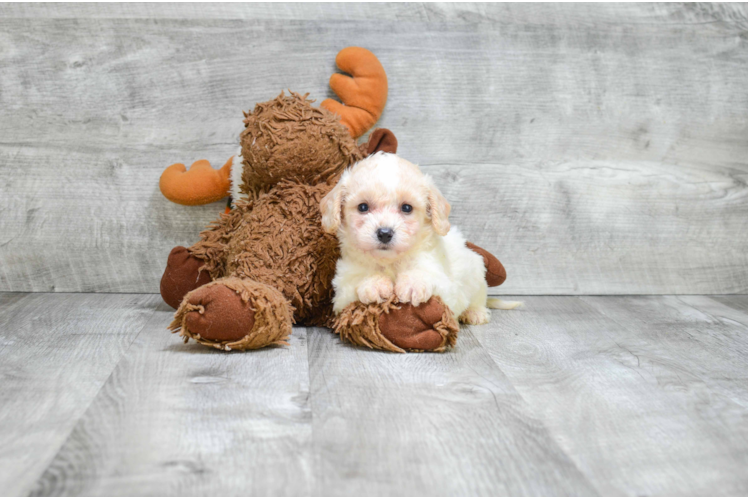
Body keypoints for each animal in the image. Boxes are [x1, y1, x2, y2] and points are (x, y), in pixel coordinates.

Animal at [318, 152, 516, 324]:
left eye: (407, 208)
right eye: (363, 207)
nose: (384, 233)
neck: (390, 262)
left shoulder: (445, 286)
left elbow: (427, 274)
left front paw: (413, 283)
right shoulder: (341, 293)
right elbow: (356, 282)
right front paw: (374, 284)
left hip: (476, 274)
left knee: (478, 298)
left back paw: (475, 313)